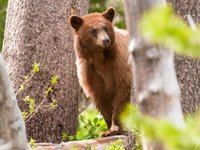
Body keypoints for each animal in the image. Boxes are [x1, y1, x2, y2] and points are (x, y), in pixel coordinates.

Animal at [69, 7, 132, 137]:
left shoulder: (120, 66)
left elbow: (122, 93)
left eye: (105, 27)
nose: (106, 40)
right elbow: (101, 98)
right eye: (93, 30)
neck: (99, 58)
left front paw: (115, 128)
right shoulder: (90, 72)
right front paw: (107, 130)